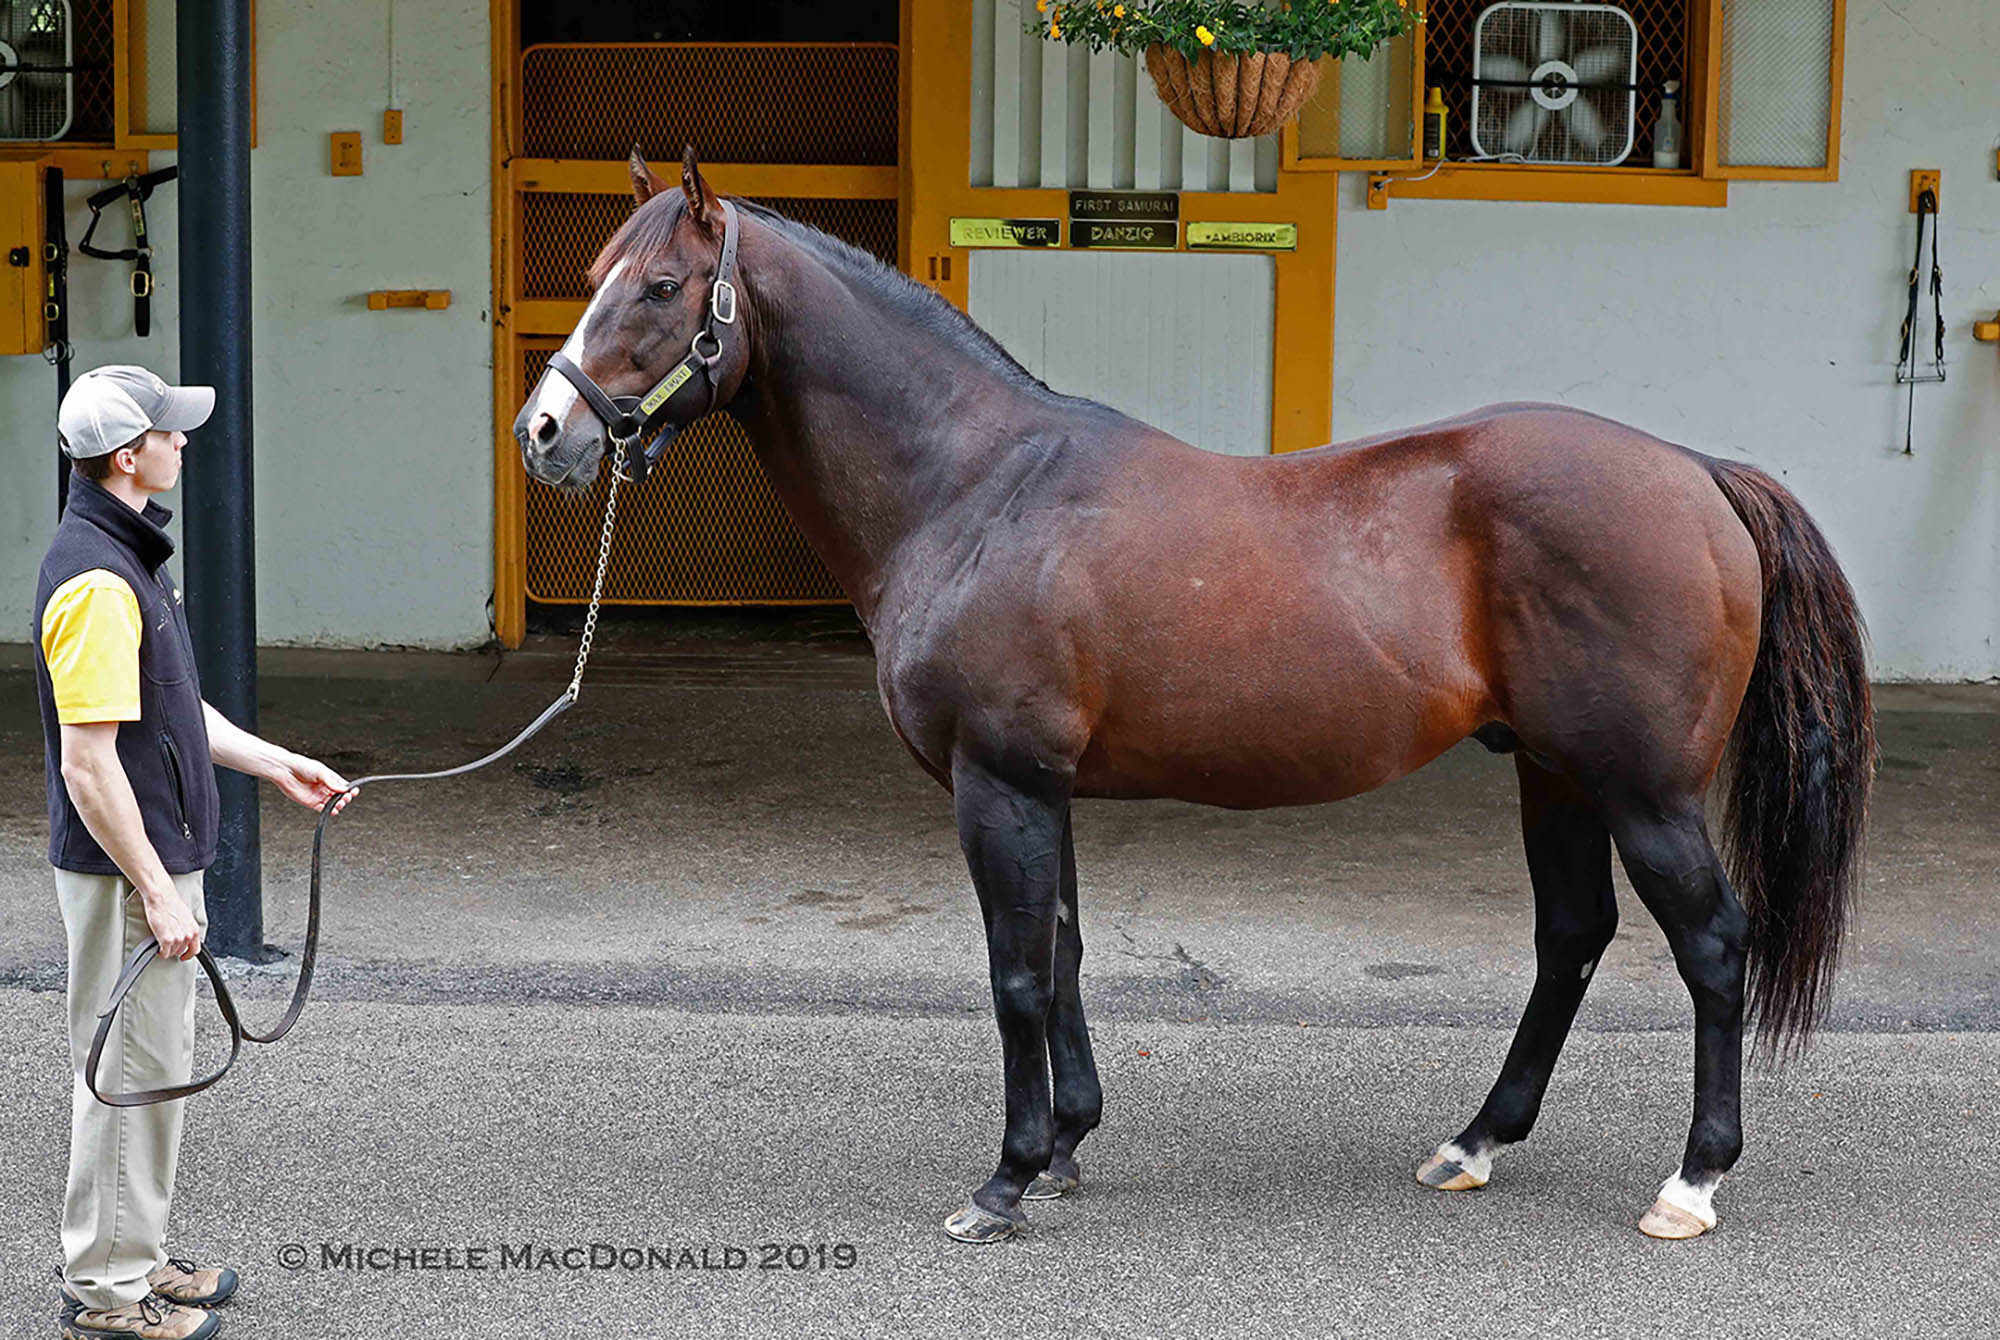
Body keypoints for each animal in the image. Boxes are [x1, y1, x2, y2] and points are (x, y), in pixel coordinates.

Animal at [512, 155, 1872, 1248]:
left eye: (659, 287)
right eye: (593, 271)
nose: (545, 433)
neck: (974, 486)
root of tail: (1694, 472)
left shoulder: (996, 783)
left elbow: (1014, 971)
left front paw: (1002, 1182)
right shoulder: (1037, 785)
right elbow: (1061, 952)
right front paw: (1066, 1144)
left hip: (1641, 789)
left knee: (1710, 945)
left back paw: (1688, 1183)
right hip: (1554, 773)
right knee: (1570, 937)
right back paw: (1473, 1140)